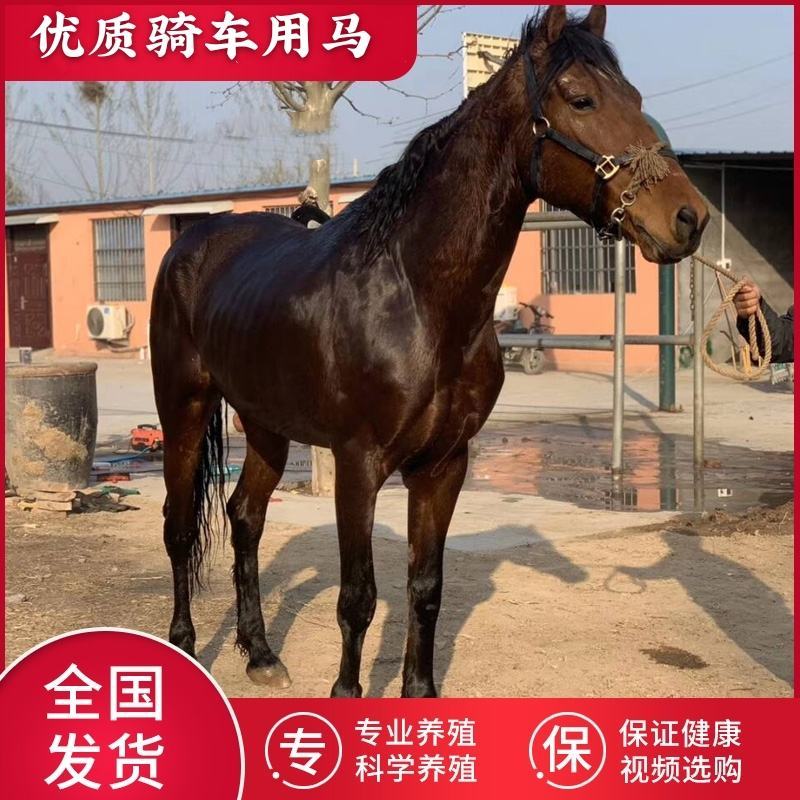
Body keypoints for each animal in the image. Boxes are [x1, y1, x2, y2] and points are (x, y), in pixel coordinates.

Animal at [150, 5, 708, 698]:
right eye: (581, 98)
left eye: (635, 98)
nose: (689, 218)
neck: (418, 297)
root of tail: (193, 240)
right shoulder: (358, 464)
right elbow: (358, 597)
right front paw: (346, 694)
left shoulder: (444, 465)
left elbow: (426, 587)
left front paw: (419, 691)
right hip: (184, 409)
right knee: (179, 528)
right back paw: (185, 645)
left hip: (266, 426)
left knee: (245, 518)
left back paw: (259, 653)